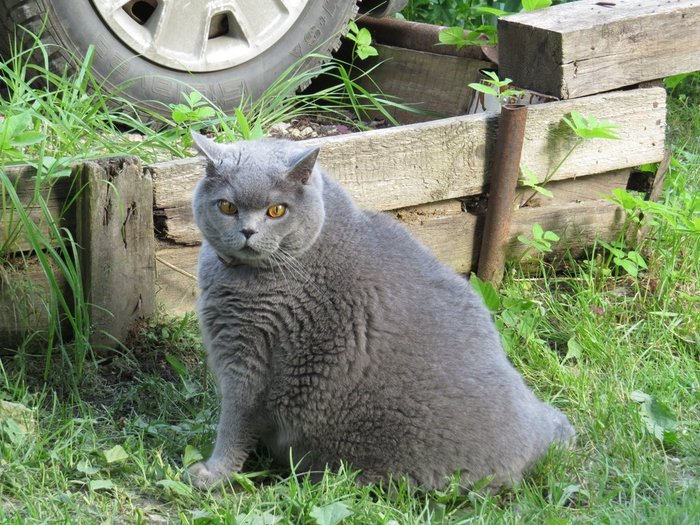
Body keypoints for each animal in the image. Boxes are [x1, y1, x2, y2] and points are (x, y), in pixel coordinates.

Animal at [186, 133, 576, 490]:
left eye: (276, 211)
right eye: (227, 207)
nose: (247, 231)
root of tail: (538, 433)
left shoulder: (249, 358)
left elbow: (234, 423)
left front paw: (212, 474)